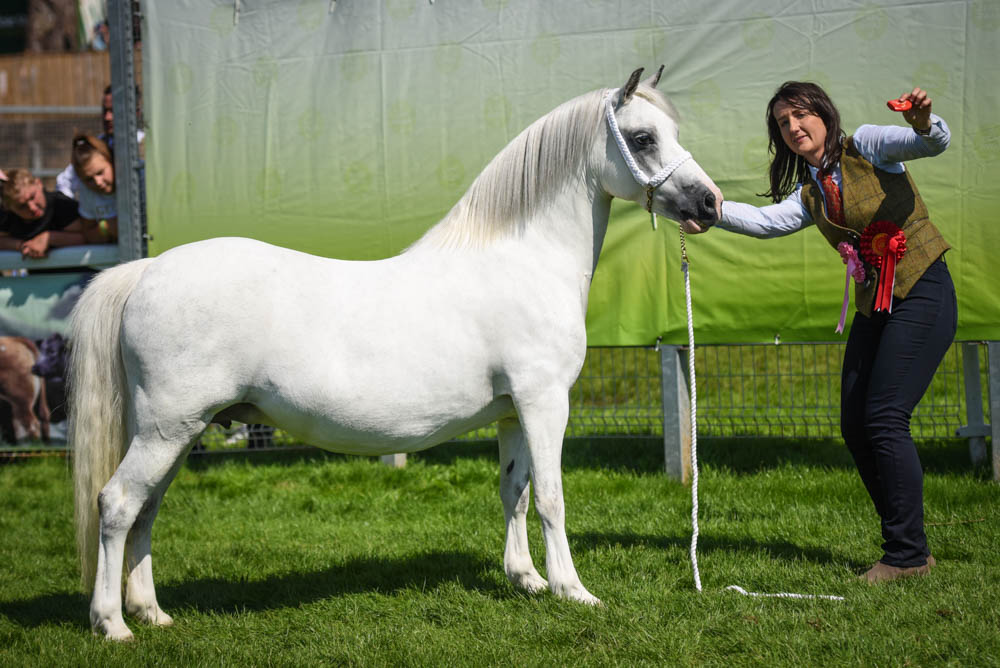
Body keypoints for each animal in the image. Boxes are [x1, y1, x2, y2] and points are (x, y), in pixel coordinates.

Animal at [66, 68, 720, 640]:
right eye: (643, 137)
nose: (709, 204)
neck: (523, 260)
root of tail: (147, 270)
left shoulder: (513, 413)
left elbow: (514, 492)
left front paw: (526, 580)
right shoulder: (543, 402)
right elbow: (552, 498)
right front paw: (572, 590)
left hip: (176, 432)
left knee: (146, 510)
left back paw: (152, 613)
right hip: (167, 429)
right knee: (117, 504)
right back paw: (113, 625)